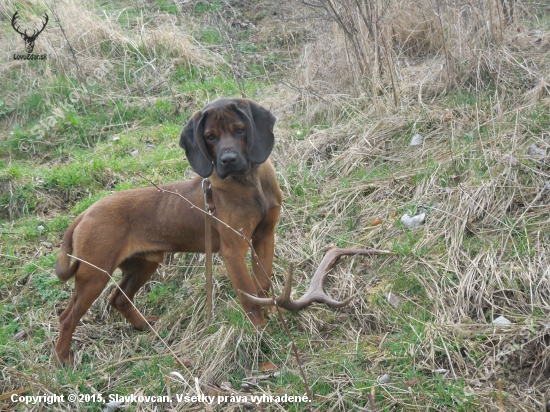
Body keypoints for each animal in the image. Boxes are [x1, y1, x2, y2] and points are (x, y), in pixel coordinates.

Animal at [54, 100, 282, 364]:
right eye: (210, 137)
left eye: (239, 130)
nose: (228, 160)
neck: (250, 183)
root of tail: (85, 214)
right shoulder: (233, 251)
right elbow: (248, 296)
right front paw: (261, 333)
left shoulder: (265, 237)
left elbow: (263, 284)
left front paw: (274, 314)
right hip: (94, 275)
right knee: (67, 317)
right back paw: (63, 359)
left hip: (143, 265)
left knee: (118, 299)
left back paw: (145, 326)